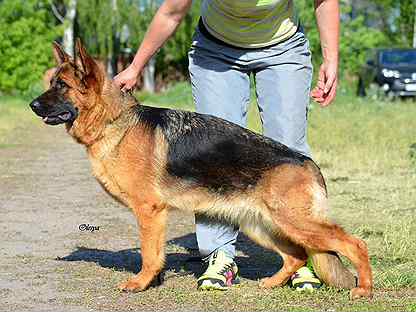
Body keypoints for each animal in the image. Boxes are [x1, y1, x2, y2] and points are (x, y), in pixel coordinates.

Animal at [30, 40, 374, 298]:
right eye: (52, 83)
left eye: (61, 86)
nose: (32, 105)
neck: (115, 122)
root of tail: (307, 162)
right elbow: (154, 254)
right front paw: (152, 281)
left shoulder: (149, 212)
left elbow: (148, 254)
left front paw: (140, 283)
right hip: (262, 225)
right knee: (297, 255)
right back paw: (270, 284)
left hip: (295, 222)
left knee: (354, 244)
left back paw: (365, 289)